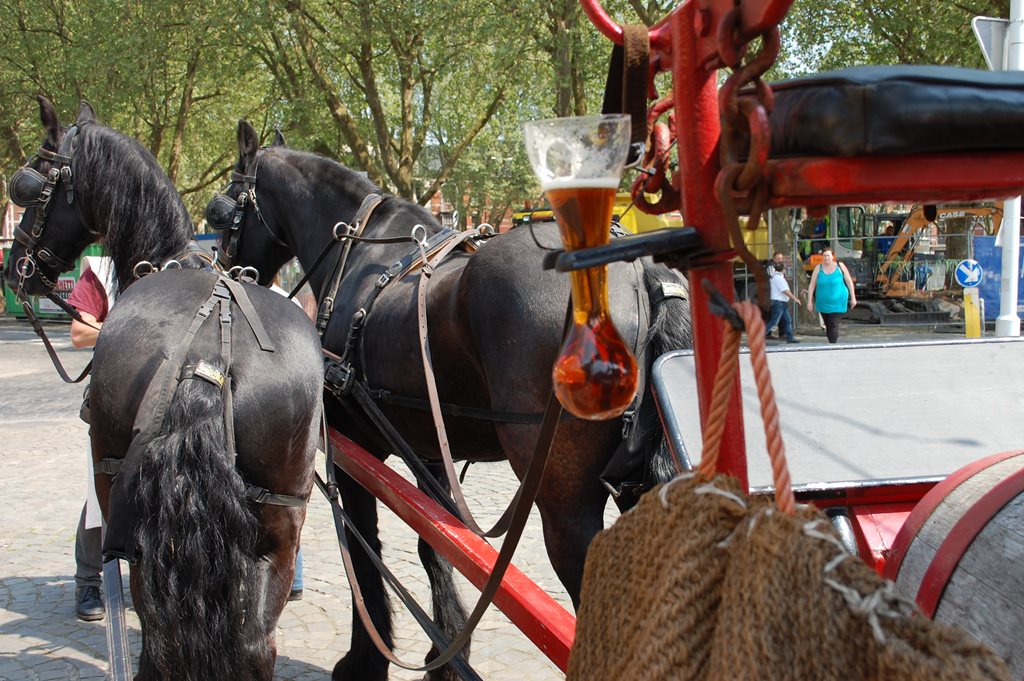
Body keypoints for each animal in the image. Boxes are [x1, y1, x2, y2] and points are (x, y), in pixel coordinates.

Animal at [3, 99, 323, 679]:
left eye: (29, 182)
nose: (17, 269)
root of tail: (207, 355)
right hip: (283, 515)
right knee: (255, 643)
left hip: (128, 509)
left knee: (158, 634)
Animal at [214, 119, 696, 675]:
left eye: (223, 207)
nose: (225, 269)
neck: (361, 255)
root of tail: (639, 268)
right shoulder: (425, 443)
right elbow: (436, 542)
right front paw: (446, 653)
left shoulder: (355, 450)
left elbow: (362, 545)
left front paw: (366, 659)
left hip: (565, 503)